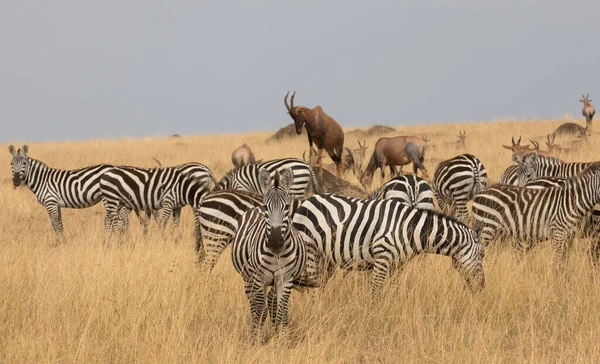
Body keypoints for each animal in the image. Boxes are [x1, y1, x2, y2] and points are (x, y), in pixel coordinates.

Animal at [231, 168, 314, 338]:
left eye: (287, 207)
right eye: (266, 207)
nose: (275, 242)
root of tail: (255, 208)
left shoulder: (286, 279)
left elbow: (281, 311)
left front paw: (283, 339)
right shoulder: (258, 278)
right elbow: (259, 311)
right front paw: (256, 339)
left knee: (272, 303)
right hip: (248, 279)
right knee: (255, 306)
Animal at [292, 193, 486, 292]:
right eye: (482, 255)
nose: (482, 287)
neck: (410, 230)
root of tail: (308, 200)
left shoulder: (397, 264)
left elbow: (395, 288)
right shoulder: (382, 259)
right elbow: (376, 291)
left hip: (326, 258)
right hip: (310, 251)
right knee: (312, 286)